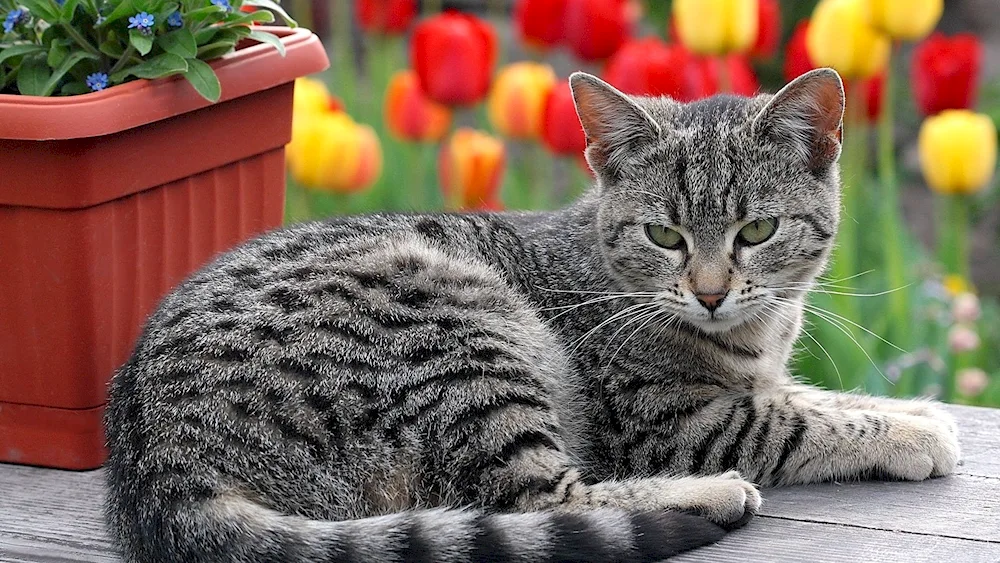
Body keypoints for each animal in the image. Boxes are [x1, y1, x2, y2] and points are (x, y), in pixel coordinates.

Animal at [103, 70, 960, 563]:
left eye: (757, 230)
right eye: (664, 235)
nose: (712, 291)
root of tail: (158, 462)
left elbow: (809, 395)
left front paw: (910, 408)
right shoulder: (671, 421)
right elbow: (794, 419)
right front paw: (911, 431)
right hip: (465, 336)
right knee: (538, 500)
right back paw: (706, 494)